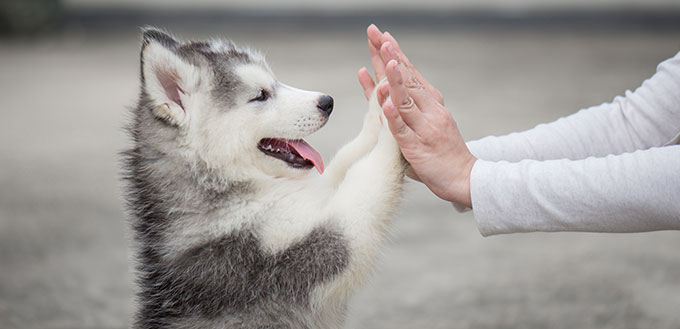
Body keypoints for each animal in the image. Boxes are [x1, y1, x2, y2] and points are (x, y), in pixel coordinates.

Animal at [121, 28, 406, 328]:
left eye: (275, 82)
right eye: (261, 95)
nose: (327, 102)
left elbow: (346, 159)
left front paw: (381, 101)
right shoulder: (300, 252)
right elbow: (367, 178)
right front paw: (395, 123)